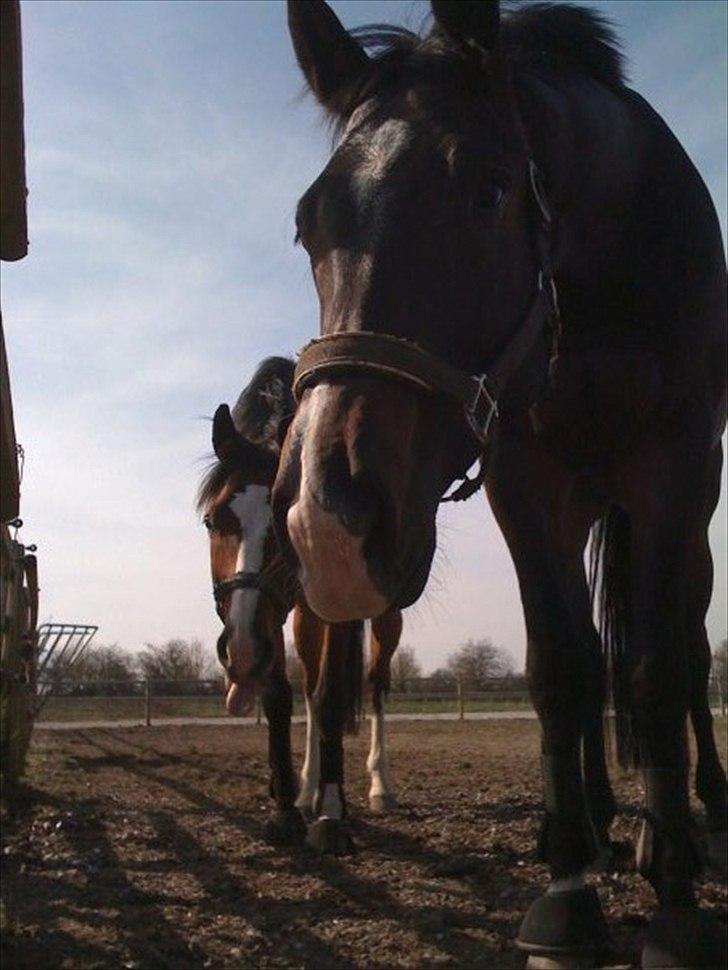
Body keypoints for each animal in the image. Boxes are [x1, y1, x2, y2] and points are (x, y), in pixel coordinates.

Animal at [196, 358, 400, 848]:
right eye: (212, 520)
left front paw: (331, 812)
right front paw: (287, 804)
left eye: (283, 520)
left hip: (383, 620)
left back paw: (379, 785)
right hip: (305, 619)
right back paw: (309, 786)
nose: (238, 650)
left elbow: (331, 698)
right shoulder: (267, 621)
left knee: (376, 686)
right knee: (308, 686)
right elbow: (282, 697)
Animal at [274, 3, 728, 964]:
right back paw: (593, 819)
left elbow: (659, 671)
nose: (329, 526)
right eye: (308, 225)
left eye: (487, 192)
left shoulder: (676, 478)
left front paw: (675, 898)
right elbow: (561, 667)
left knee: (680, 655)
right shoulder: (527, 485)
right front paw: (568, 891)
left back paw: (689, 815)